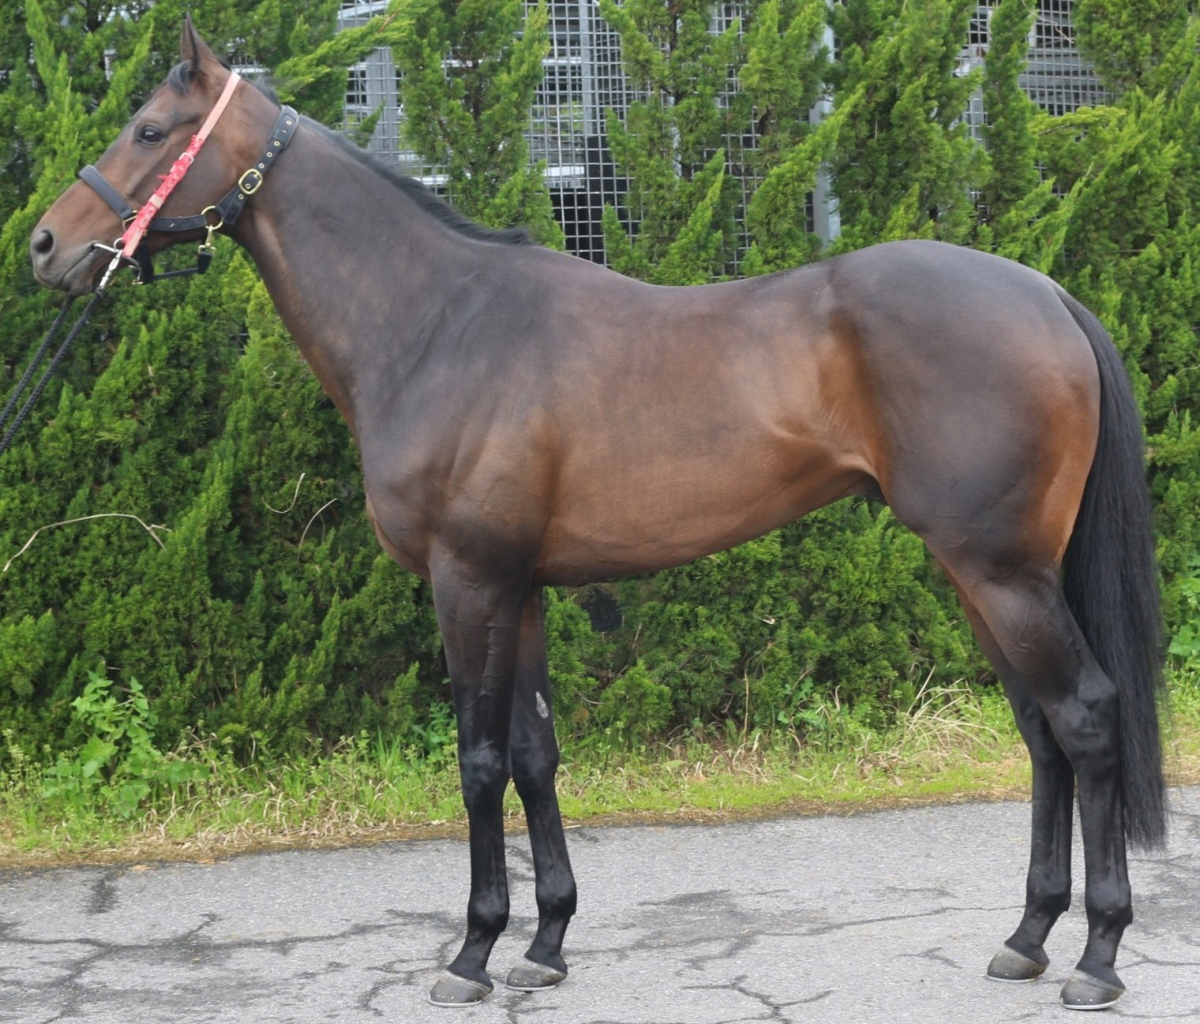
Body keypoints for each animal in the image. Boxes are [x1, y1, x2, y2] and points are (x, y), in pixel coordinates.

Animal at [28, 20, 1164, 1011]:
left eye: (150, 129)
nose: (45, 244)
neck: (437, 324)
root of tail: (1048, 296)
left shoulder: (468, 580)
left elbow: (480, 761)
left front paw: (472, 953)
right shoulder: (522, 587)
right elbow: (536, 757)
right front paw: (544, 944)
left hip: (1003, 571)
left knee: (1086, 717)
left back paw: (1097, 956)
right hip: (985, 573)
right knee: (1043, 734)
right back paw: (1026, 938)